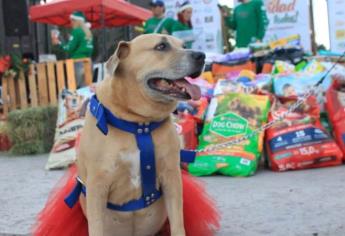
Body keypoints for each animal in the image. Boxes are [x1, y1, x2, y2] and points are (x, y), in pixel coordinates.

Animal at [75, 33, 204, 236]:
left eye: (184, 45)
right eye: (161, 46)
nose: (202, 56)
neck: (139, 122)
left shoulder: (172, 177)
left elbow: (177, 223)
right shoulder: (97, 185)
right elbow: (96, 227)